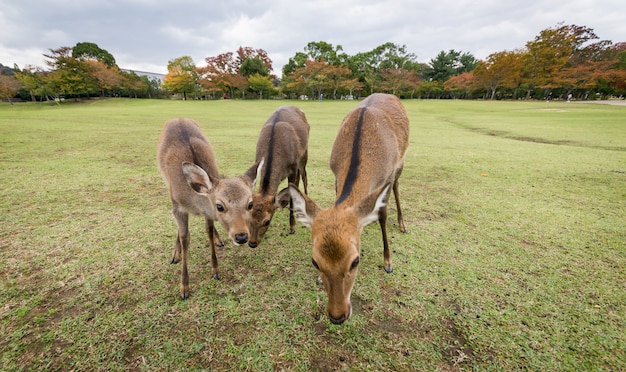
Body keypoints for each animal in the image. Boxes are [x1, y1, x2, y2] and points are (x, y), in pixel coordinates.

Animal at [158, 117, 264, 300]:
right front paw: (184, 288)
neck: (193, 202)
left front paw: (215, 270)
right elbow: (185, 237)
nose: (242, 236)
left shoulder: (207, 213)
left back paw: (219, 240)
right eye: (219, 206)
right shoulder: (177, 206)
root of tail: (178, 118)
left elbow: (208, 230)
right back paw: (175, 255)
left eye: (250, 204)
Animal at [246, 106, 310, 248]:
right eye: (248, 218)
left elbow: (291, 192)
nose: (252, 243)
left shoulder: (293, 167)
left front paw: (292, 228)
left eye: (267, 221)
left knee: (304, 175)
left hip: (304, 153)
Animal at [276, 93, 408, 322]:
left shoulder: (388, 175)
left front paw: (388, 262)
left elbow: (382, 214)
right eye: (315, 262)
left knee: (397, 187)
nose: (337, 316)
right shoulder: (336, 177)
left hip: (400, 165)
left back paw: (402, 224)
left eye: (356, 261)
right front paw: (319, 280)